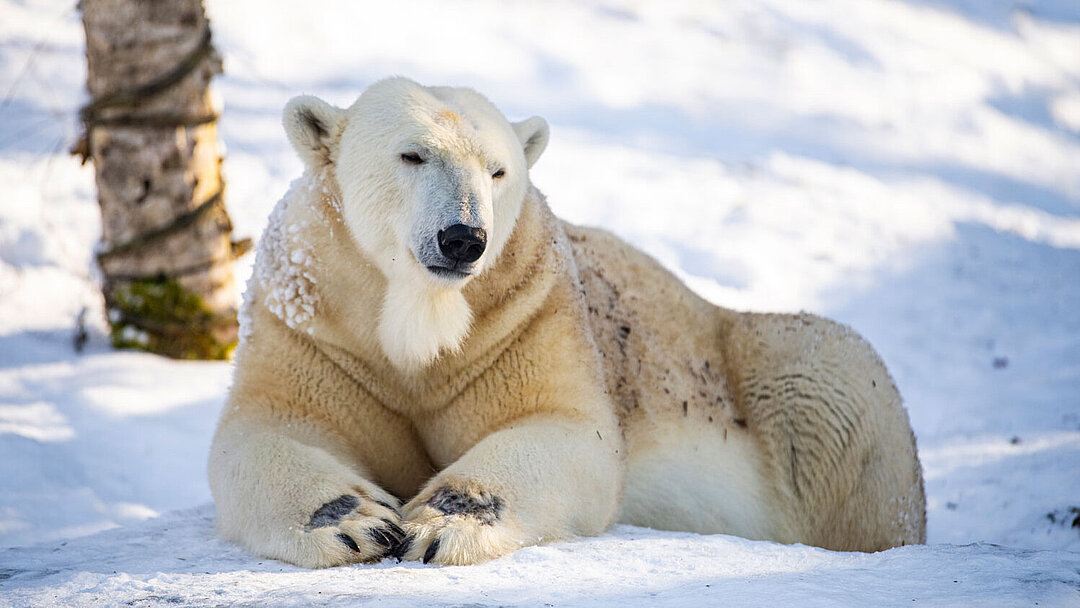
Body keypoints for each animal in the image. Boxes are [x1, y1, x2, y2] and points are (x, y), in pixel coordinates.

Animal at [206, 77, 924, 570]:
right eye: (412, 156)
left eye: (499, 170)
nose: (464, 238)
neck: (421, 322)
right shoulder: (317, 329)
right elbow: (267, 430)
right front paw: (358, 521)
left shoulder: (528, 316)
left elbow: (564, 429)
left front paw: (438, 526)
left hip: (784, 366)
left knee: (837, 391)